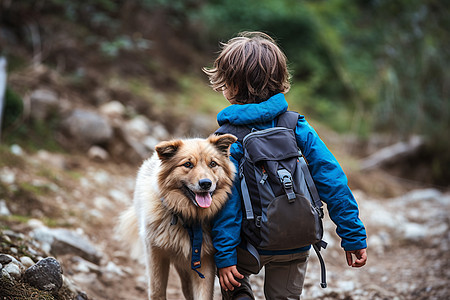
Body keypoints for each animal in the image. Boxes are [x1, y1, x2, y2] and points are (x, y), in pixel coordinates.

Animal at [118, 135, 237, 298]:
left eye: (213, 164)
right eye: (188, 164)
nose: (206, 183)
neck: (188, 218)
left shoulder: (205, 259)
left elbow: (203, 294)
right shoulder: (155, 253)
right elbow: (157, 291)